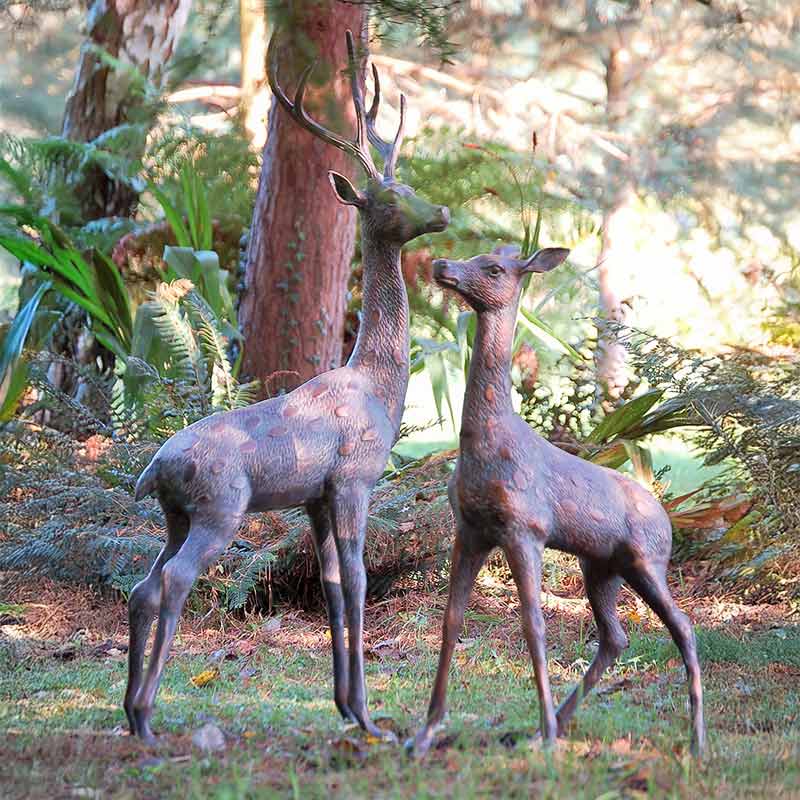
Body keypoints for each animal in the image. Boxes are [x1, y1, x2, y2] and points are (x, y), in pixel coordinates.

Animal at [124, 29, 449, 744]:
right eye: (387, 200)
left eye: (412, 183)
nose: (439, 210)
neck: (378, 385)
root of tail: (154, 471)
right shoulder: (354, 478)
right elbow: (357, 581)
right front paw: (371, 718)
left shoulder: (314, 498)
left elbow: (330, 587)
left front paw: (348, 707)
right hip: (220, 505)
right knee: (175, 581)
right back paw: (149, 715)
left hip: (175, 515)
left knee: (142, 586)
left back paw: (132, 714)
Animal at [407, 245, 705, 758]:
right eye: (477, 254)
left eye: (494, 268)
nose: (443, 266)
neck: (486, 446)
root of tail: (666, 518)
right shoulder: (470, 529)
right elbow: (451, 620)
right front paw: (424, 734)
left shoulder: (525, 529)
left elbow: (533, 625)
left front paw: (542, 735)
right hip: (601, 566)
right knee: (616, 637)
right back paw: (561, 722)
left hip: (647, 560)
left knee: (683, 626)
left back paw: (695, 741)